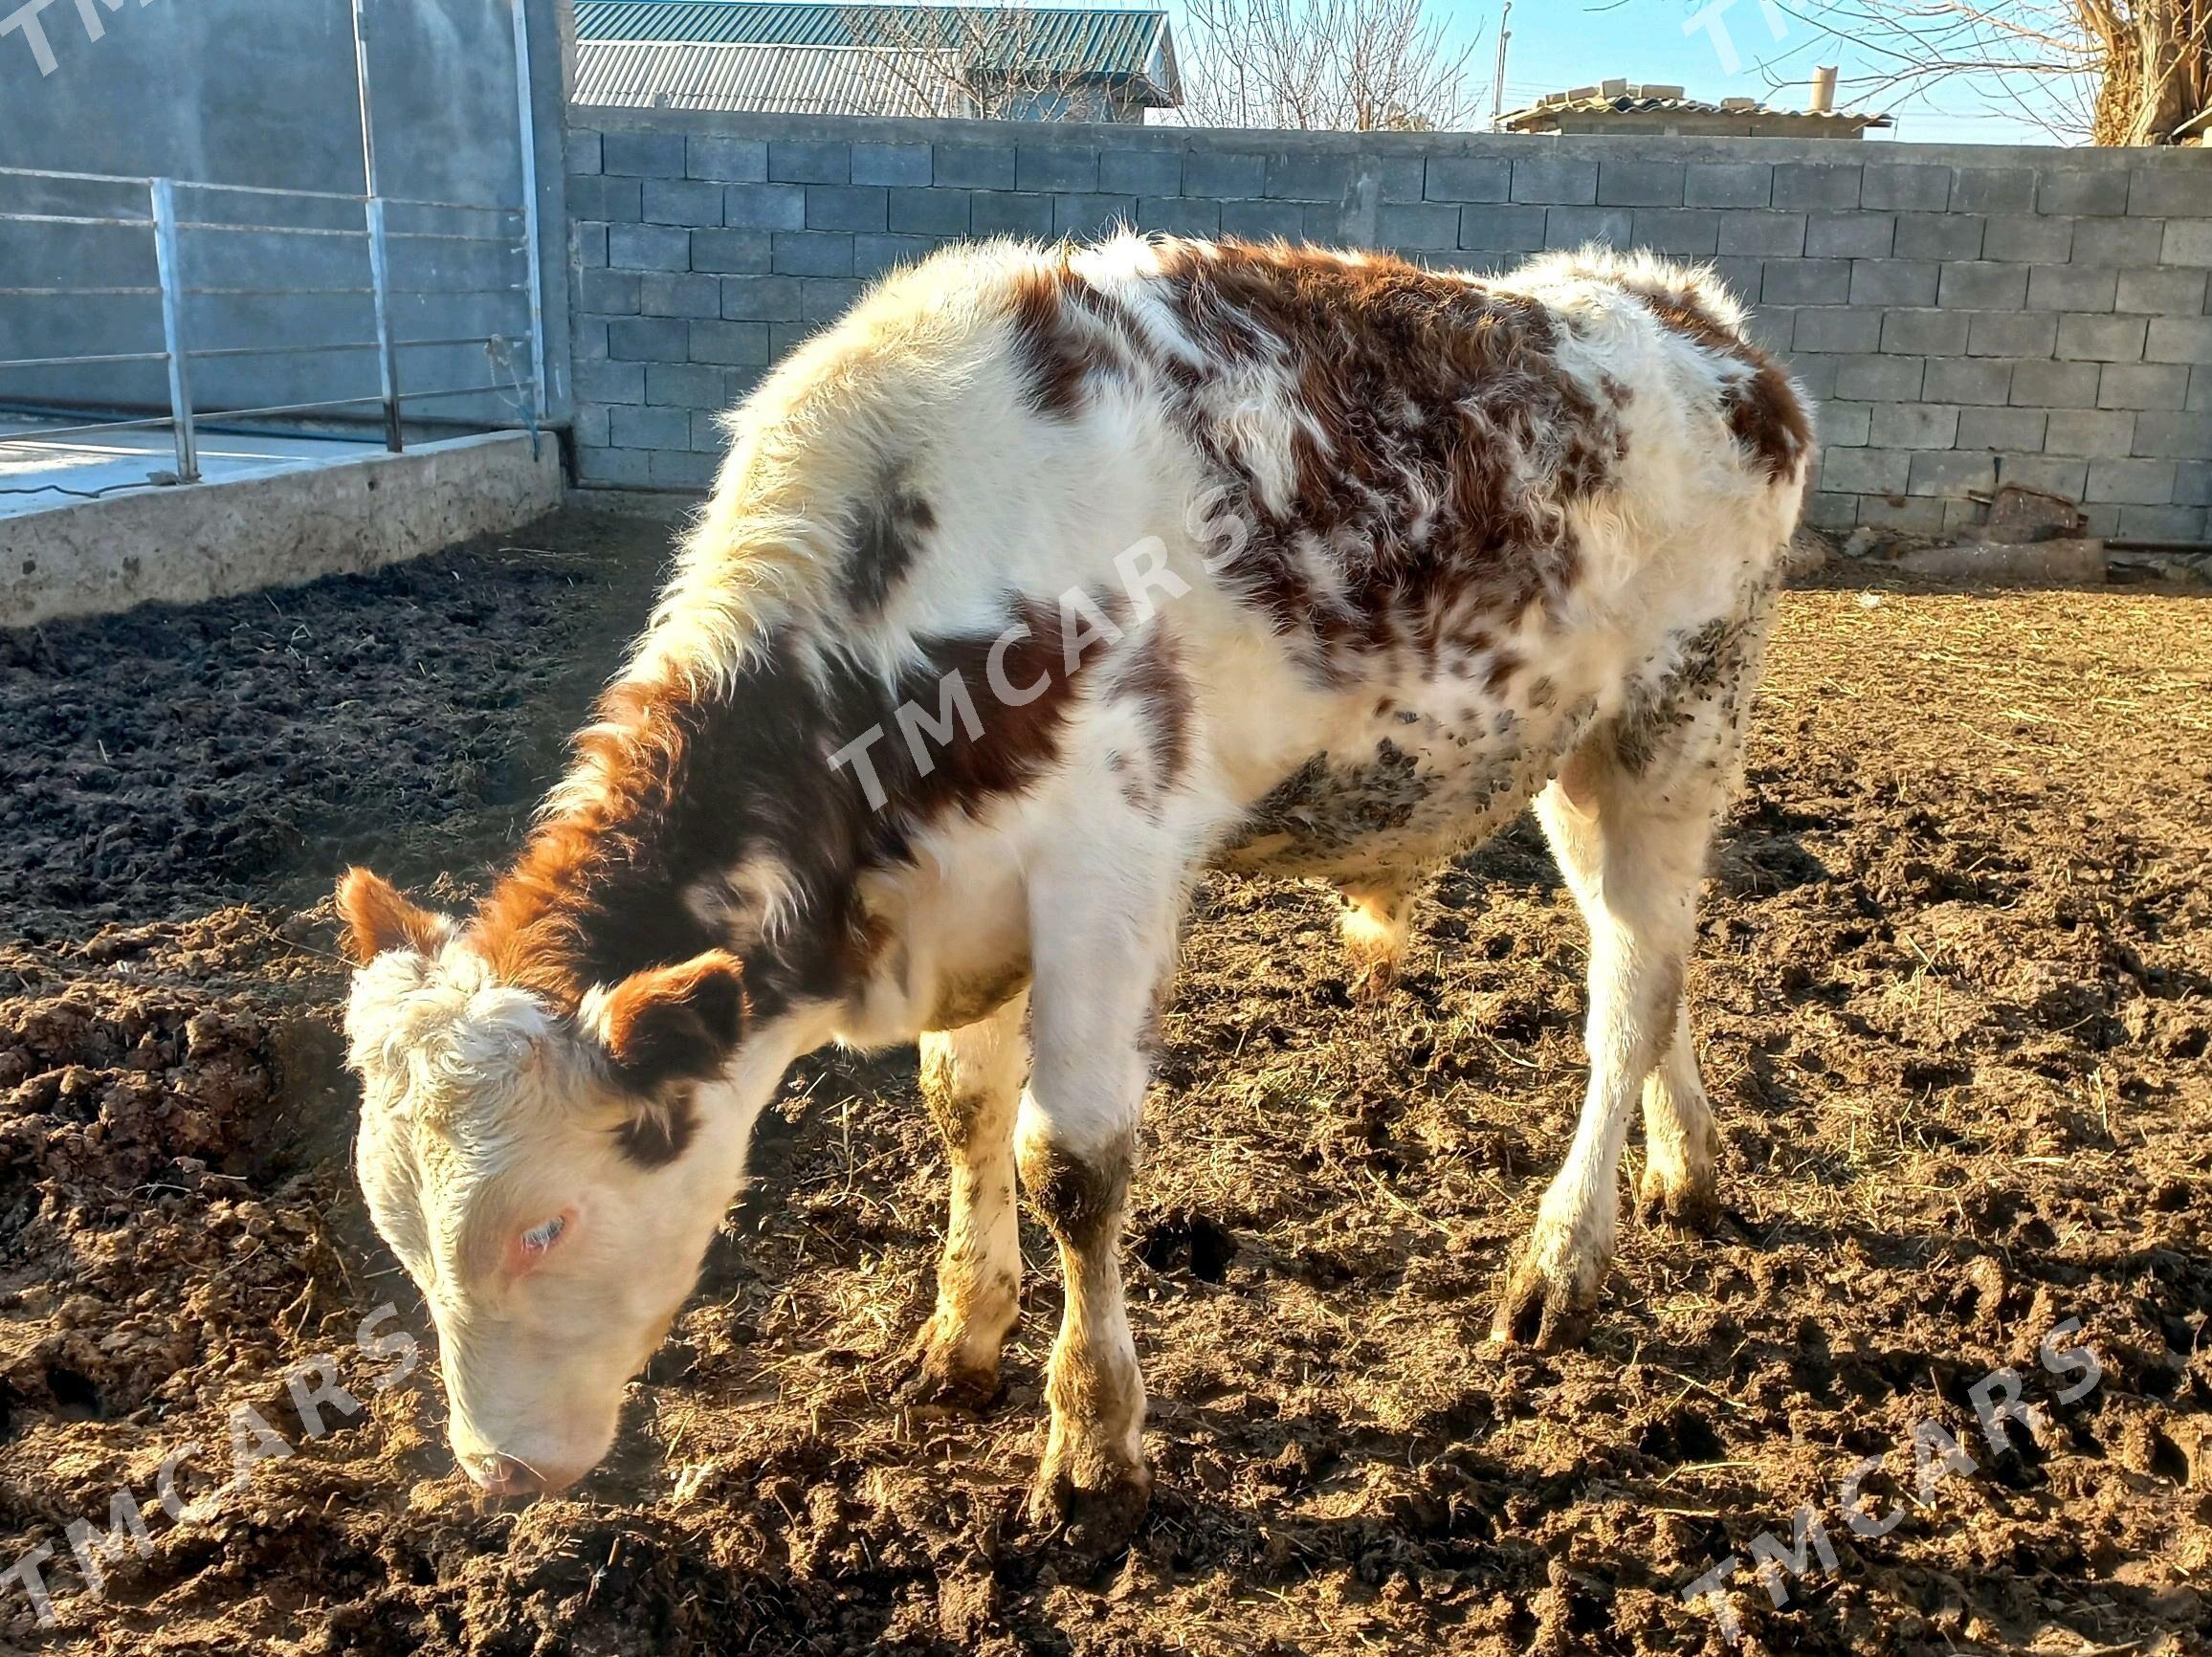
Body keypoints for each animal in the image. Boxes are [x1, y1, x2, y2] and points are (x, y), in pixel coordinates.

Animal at [336, 229, 1804, 1539]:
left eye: (546, 1225)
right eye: (394, 1227)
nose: (495, 1472)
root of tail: (1699, 319)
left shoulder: (1108, 865)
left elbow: (1073, 1165)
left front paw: (1094, 1446)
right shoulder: (962, 890)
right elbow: (961, 1108)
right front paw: (959, 1336)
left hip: (1684, 711)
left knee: (1626, 995)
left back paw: (1560, 1260)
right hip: (1571, 752)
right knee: (1653, 962)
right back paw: (1689, 1166)